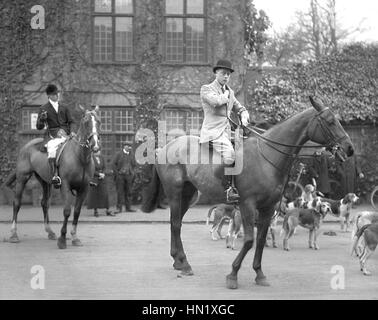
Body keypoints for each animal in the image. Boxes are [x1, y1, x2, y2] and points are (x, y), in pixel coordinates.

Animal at [3, 109, 100, 249]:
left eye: (99, 121)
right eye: (86, 122)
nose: (95, 146)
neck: (80, 157)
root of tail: (28, 145)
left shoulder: (84, 188)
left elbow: (76, 212)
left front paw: (74, 237)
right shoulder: (65, 186)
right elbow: (67, 211)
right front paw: (62, 239)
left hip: (45, 181)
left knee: (44, 203)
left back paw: (50, 232)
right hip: (22, 178)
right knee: (17, 203)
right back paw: (13, 234)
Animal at [141, 96, 354, 288]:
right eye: (330, 121)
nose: (349, 148)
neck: (267, 156)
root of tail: (166, 147)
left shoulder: (268, 208)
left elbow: (260, 240)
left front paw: (259, 273)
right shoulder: (247, 205)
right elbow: (249, 240)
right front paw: (233, 274)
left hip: (188, 195)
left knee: (175, 224)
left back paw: (179, 261)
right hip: (175, 194)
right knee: (176, 224)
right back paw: (184, 264)